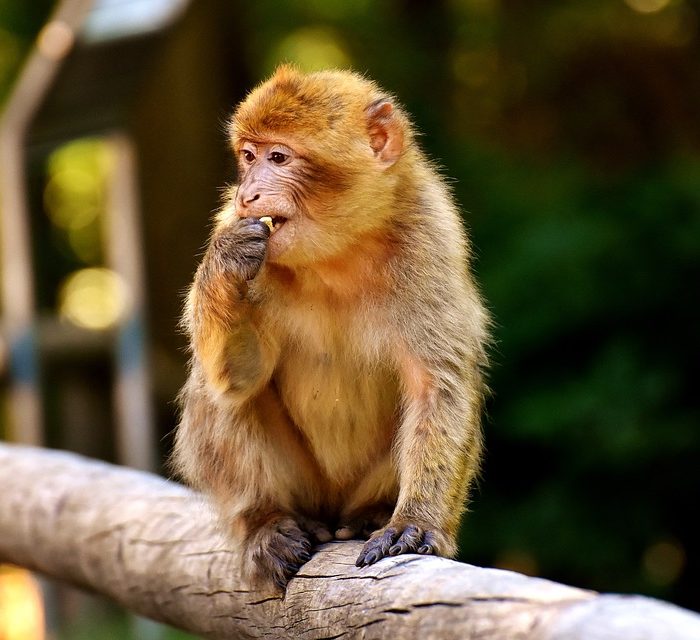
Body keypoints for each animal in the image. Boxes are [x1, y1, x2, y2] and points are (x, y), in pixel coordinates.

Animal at [173, 65, 489, 591]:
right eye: (248, 157)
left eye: (279, 157)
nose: (247, 193)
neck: (336, 254)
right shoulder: (233, 223)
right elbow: (238, 376)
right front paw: (223, 263)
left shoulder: (430, 238)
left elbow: (436, 385)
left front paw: (416, 522)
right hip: (303, 486)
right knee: (219, 393)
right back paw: (265, 522)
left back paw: (372, 513)